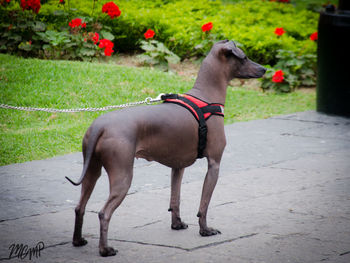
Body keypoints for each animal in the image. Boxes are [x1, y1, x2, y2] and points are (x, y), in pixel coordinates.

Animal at [66, 40, 266, 256]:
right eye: (244, 57)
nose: (264, 69)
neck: (205, 96)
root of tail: (99, 125)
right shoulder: (214, 164)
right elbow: (203, 205)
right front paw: (205, 230)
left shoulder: (178, 167)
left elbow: (175, 199)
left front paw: (177, 224)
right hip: (122, 175)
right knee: (104, 213)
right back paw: (105, 249)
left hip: (92, 172)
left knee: (79, 207)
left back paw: (78, 240)